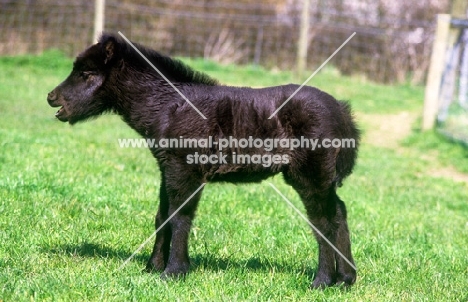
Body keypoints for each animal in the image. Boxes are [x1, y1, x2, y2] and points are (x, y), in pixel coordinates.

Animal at [47, 33, 360, 288]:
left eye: (87, 73)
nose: (52, 97)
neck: (168, 106)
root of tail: (343, 113)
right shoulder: (167, 167)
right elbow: (162, 216)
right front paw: (152, 267)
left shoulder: (185, 170)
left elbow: (180, 216)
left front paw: (174, 272)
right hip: (322, 178)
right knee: (339, 213)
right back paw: (346, 279)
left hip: (310, 174)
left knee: (323, 221)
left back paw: (322, 281)